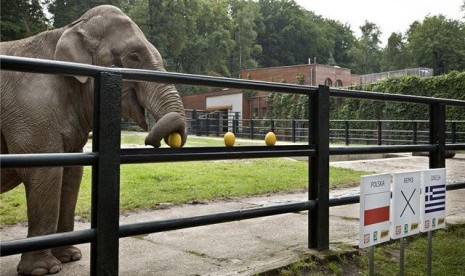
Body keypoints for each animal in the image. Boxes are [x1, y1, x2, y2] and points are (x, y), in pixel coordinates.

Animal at [1, 4, 187, 276]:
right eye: (134, 57)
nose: (151, 141)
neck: (68, 28)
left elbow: (72, 173)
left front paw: (70, 257)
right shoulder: (31, 110)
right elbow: (45, 172)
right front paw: (43, 270)